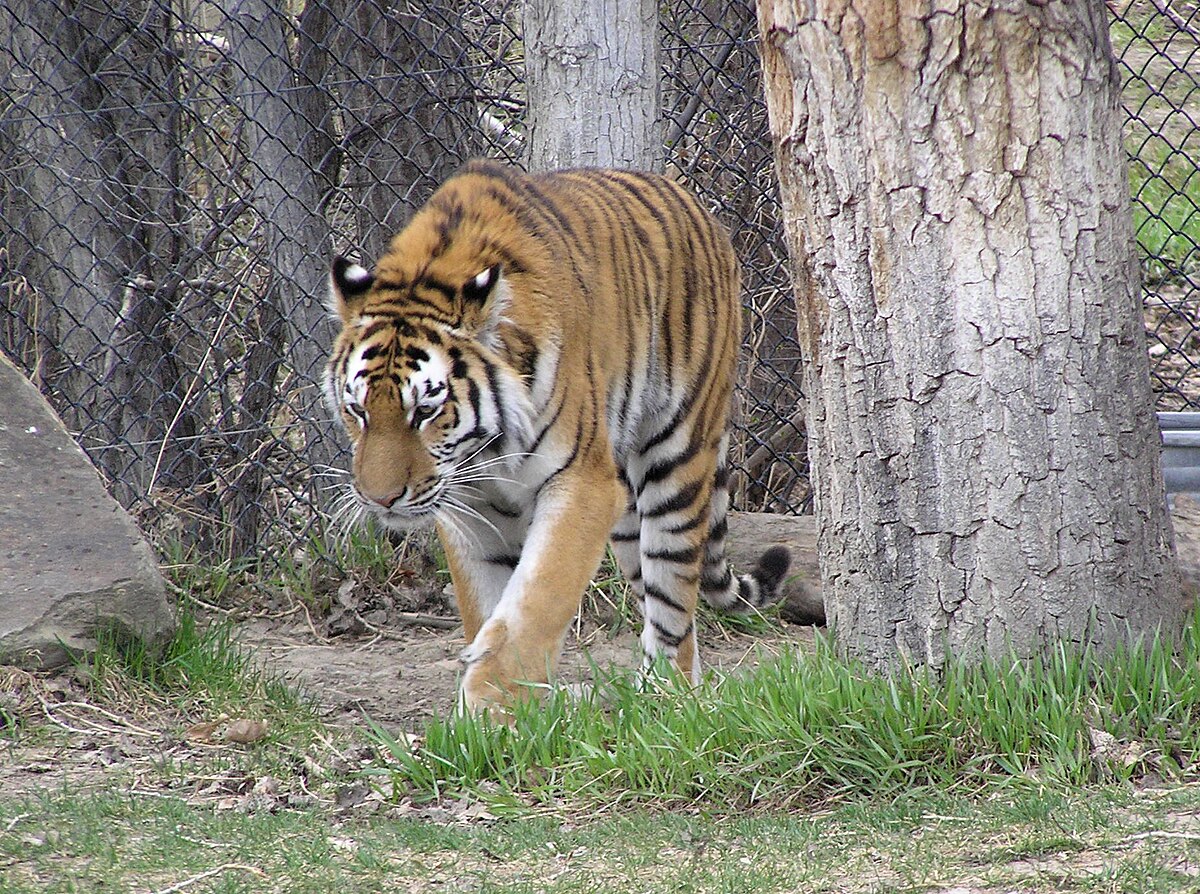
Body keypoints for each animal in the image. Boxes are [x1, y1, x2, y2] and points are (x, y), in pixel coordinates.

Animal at [324, 157, 792, 705]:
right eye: (358, 411)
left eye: (424, 411)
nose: (380, 500)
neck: (483, 451)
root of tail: (695, 205)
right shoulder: (470, 508)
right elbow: (487, 611)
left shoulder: (581, 485)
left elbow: (533, 606)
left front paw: (492, 707)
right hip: (625, 509)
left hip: (676, 457)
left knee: (674, 596)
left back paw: (666, 696)